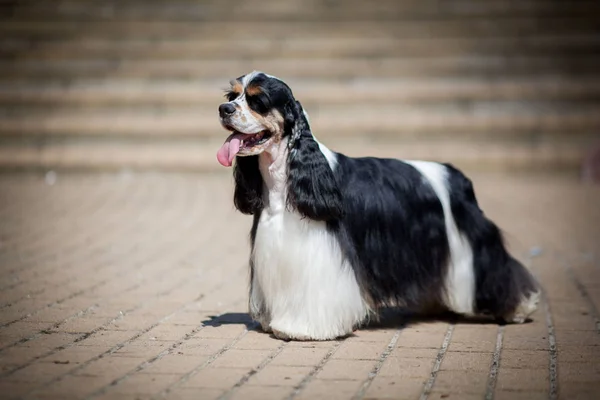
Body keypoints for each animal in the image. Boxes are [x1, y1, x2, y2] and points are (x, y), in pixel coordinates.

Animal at [214, 72, 540, 340]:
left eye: (258, 100)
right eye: (232, 97)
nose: (224, 110)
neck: (288, 174)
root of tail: (456, 175)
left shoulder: (321, 253)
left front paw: (301, 329)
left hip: (470, 243)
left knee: (497, 270)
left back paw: (518, 308)